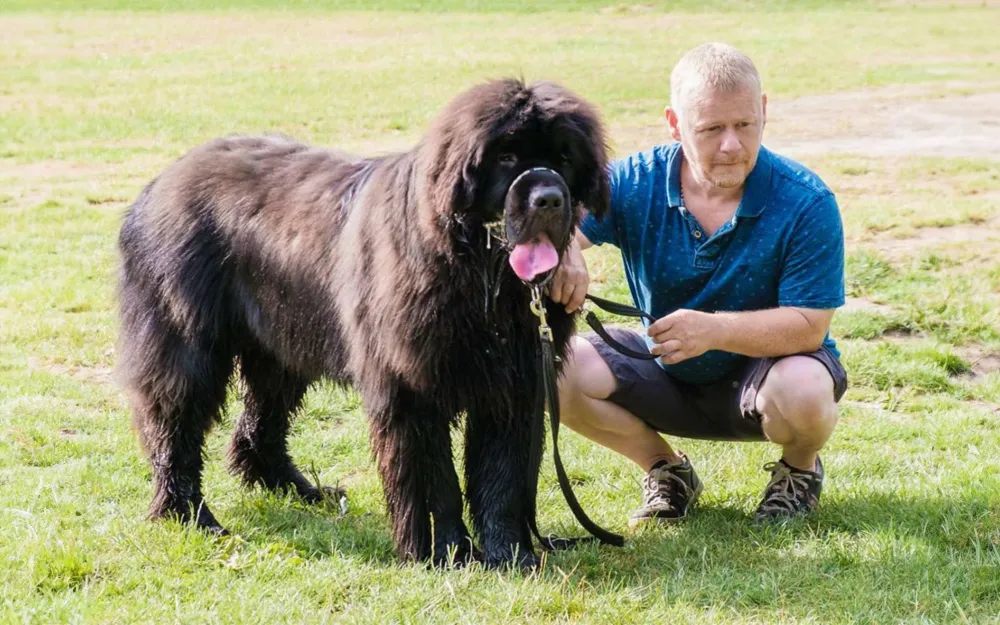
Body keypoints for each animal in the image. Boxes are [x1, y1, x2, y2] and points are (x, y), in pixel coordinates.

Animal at [121, 77, 612, 564]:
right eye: (507, 157)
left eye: (564, 158)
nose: (549, 199)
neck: (472, 268)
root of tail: (156, 186)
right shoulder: (411, 386)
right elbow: (433, 477)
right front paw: (444, 551)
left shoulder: (512, 386)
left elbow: (502, 475)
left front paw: (509, 553)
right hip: (186, 344)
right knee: (175, 425)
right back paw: (190, 514)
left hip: (281, 343)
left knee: (263, 419)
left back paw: (299, 490)